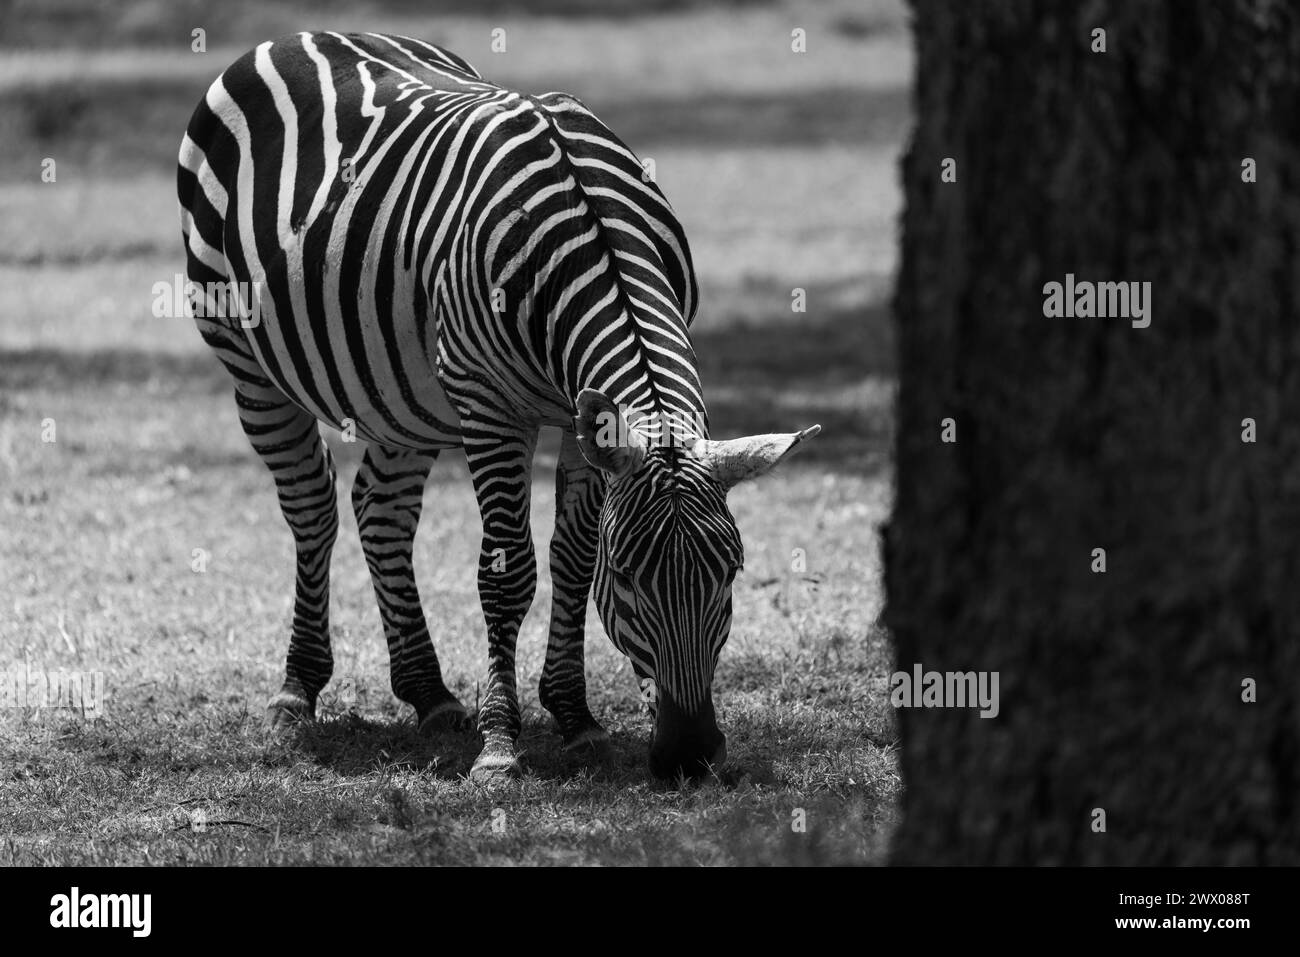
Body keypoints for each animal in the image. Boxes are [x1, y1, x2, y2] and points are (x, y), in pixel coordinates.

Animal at [176, 31, 819, 780]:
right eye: (628, 575)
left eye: (730, 571)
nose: (689, 756)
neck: (593, 234)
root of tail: (300, 36)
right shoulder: (488, 406)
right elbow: (506, 573)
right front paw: (500, 746)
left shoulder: (580, 415)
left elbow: (570, 556)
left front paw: (575, 717)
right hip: (246, 361)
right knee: (312, 508)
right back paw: (296, 692)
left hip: (404, 391)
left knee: (381, 511)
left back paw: (428, 693)